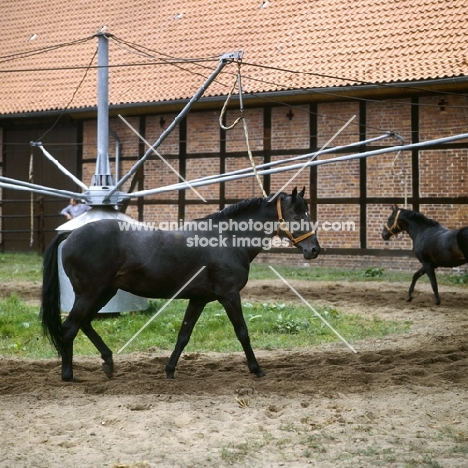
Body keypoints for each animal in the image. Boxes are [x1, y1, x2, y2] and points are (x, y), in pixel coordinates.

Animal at [41, 188, 322, 382]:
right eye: (297, 214)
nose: (314, 250)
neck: (228, 239)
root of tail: (71, 234)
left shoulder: (198, 299)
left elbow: (184, 335)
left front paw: (169, 370)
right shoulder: (229, 295)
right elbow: (242, 332)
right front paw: (257, 370)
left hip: (103, 293)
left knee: (83, 323)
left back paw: (108, 363)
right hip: (91, 293)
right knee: (70, 327)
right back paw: (68, 375)